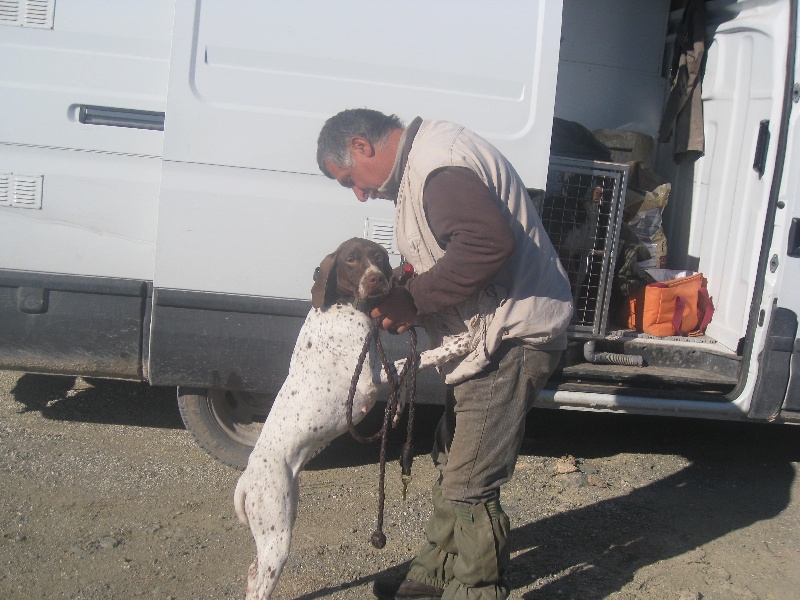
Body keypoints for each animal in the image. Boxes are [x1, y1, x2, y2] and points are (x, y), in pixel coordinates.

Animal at [234, 237, 474, 599]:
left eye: (378, 256)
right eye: (350, 260)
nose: (377, 279)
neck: (342, 306)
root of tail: (246, 481)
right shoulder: (368, 384)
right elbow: (418, 358)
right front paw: (460, 342)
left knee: (251, 572)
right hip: (277, 535)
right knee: (260, 584)